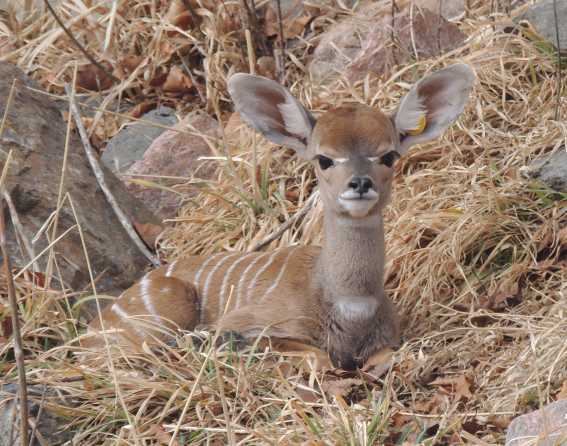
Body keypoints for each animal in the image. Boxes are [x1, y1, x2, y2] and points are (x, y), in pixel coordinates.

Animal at [84, 62, 474, 370]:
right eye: (324, 158)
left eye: (389, 155)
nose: (360, 183)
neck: (351, 307)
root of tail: (92, 329)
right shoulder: (257, 321)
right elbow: (314, 355)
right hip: (166, 311)